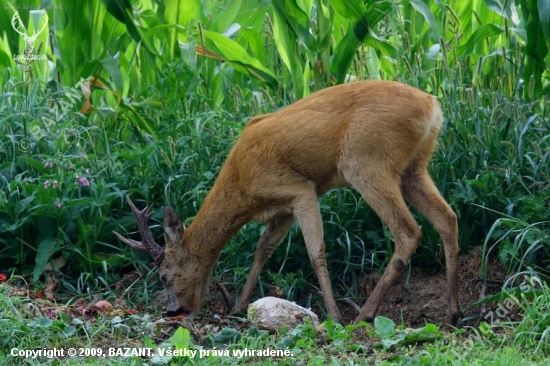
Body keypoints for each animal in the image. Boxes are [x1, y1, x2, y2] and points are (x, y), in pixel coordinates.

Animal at [114, 78, 464, 324]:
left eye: (164, 275)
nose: (173, 311)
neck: (243, 187)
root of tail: (433, 107)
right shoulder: (282, 209)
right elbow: (262, 249)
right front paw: (239, 307)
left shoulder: (300, 189)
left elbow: (315, 252)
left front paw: (333, 316)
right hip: (413, 168)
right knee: (448, 217)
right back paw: (453, 312)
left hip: (366, 161)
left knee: (408, 231)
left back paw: (364, 314)